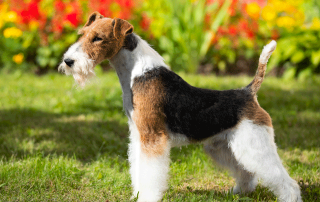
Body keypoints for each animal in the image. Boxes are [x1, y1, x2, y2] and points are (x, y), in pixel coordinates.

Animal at [58, 11, 302, 201]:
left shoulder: (153, 137)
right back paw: (238, 193)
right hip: (224, 146)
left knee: (285, 181)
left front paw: (147, 197)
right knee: (247, 174)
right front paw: (137, 194)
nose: (68, 62)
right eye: (82, 35)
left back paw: (288, 196)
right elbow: (138, 169)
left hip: (253, 143)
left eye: (98, 38)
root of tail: (249, 91)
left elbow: (151, 174)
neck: (137, 74)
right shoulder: (139, 136)